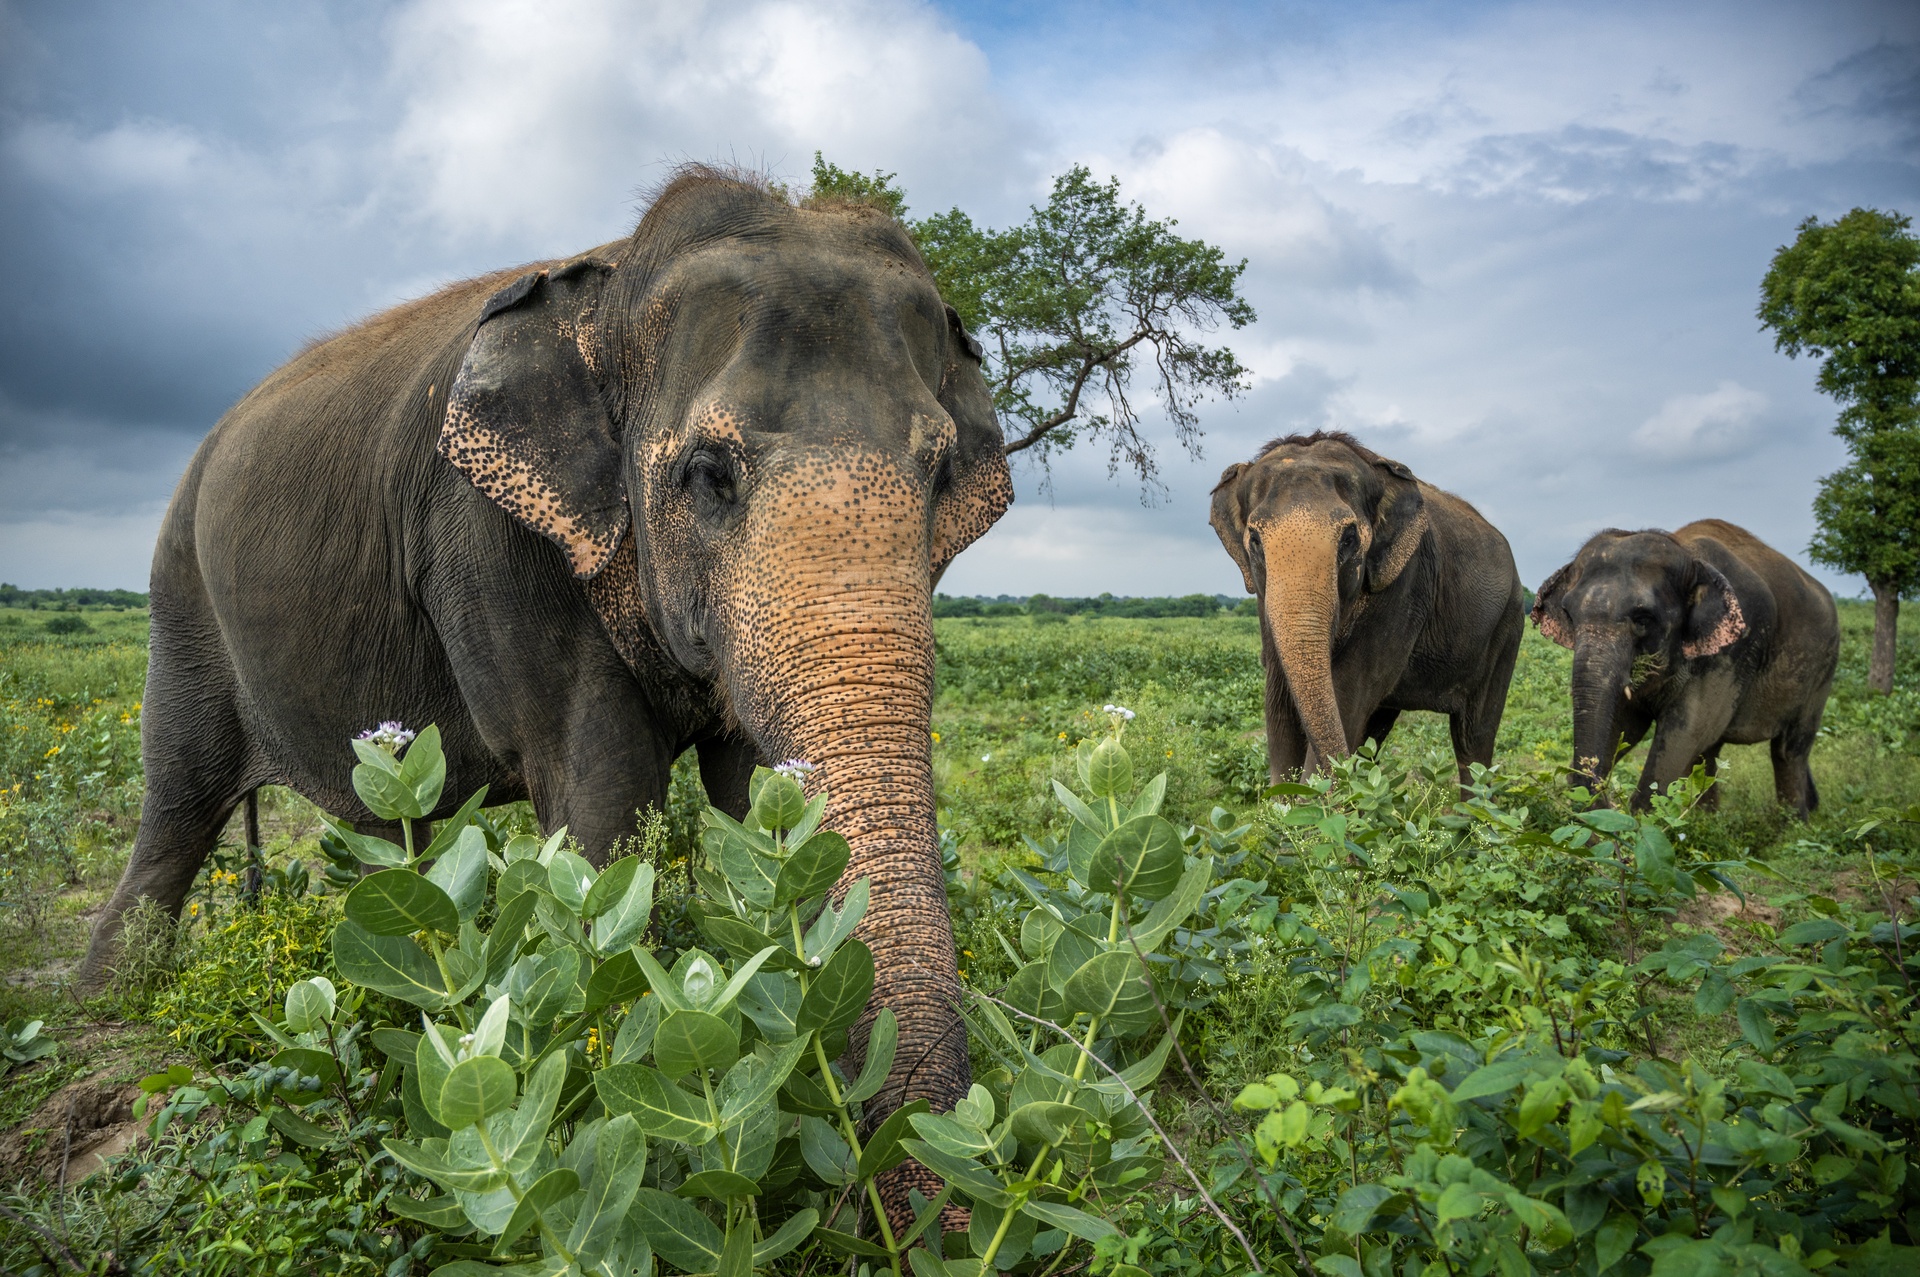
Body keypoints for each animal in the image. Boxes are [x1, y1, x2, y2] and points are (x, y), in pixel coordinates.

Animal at [77, 169, 1014, 1200]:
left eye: (939, 472)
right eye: (708, 475)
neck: (616, 288)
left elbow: (746, 795)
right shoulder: (492, 542)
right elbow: (605, 787)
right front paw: (602, 1061)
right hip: (180, 596)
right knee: (179, 798)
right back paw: (110, 999)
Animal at [1210, 431, 1525, 787]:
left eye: (1349, 538)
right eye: (1254, 540)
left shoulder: (1404, 585)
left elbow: (1349, 693)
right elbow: (1279, 701)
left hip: (1507, 626)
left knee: (1473, 737)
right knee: (1377, 726)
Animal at [1530, 519, 1838, 816]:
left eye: (1643, 619)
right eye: (1569, 615)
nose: (1608, 799)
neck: (1687, 554)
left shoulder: (1734, 650)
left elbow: (1686, 730)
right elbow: (1627, 724)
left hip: (1823, 671)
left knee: (1789, 749)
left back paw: (1794, 823)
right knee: (1711, 751)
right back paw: (1710, 820)